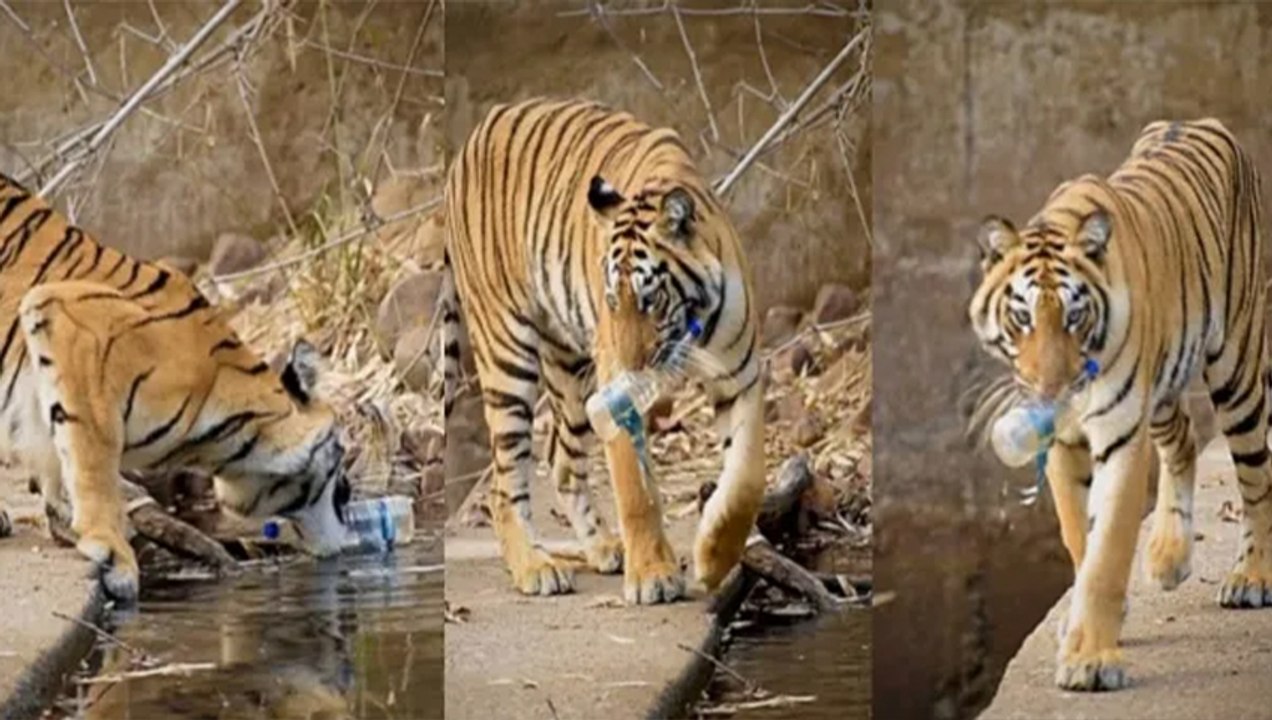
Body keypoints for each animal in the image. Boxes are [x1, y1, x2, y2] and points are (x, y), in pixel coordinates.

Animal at [0, 171, 352, 602]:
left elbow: (57, 453)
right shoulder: (67, 319)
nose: (349, 493)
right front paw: (113, 552)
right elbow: (92, 458)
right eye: (340, 469)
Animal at [442, 97, 765, 604]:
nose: (633, 364)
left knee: (560, 460)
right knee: (503, 481)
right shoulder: (617, 394)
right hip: (507, 351)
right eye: (612, 299)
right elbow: (635, 490)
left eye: (650, 299)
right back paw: (536, 567)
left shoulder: (741, 376)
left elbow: (746, 479)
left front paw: (714, 560)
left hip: (569, 371)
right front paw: (652, 574)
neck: (691, 328)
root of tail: (471, 140)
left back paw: (603, 548)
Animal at [968, 118, 1272, 691]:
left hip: (1237, 369)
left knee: (1257, 479)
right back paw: (1169, 556)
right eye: (1023, 317)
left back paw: (1252, 576)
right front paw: (1088, 629)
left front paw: (1091, 660)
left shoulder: (1122, 434)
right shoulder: (1065, 443)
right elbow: (1078, 537)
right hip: (1166, 388)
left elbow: (1107, 549)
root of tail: (1201, 122)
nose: (1052, 390)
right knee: (1184, 440)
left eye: (1073, 316)